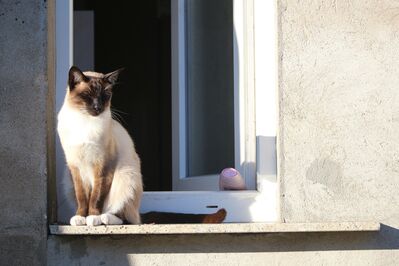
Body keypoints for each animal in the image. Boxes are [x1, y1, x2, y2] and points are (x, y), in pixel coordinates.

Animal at [56, 66, 227, 224]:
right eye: (88, 95)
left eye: (105, 96)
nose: (98, 107)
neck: (85, 121)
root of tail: (139, 212)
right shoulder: (75, 166)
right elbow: (82, 197)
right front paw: (80, 217)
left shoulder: (103, 165)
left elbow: (96, 197)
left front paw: (92, 217)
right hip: (67, 178)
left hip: (125, 176)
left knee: (126, 218)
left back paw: (104, 218)